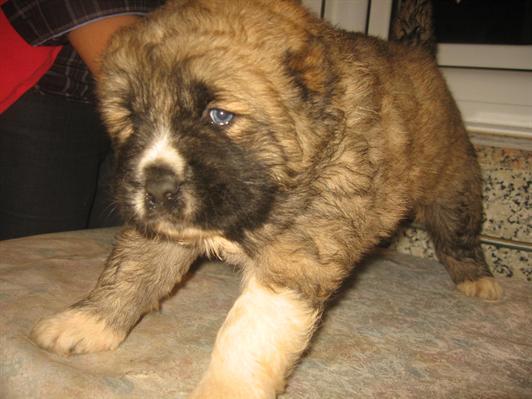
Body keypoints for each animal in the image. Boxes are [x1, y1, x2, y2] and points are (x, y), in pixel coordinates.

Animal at [30, 1, 502, 398]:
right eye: (131, 118)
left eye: (220, 116)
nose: (158, 189)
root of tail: (415, 53)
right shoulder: (166, 230)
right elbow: (131, 271)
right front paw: (87, 321)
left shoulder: (295, 256)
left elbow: (245, 333)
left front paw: (224, 390)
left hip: (452, 181)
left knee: (458, 231)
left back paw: (476, 278)